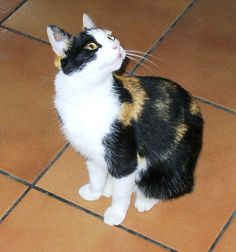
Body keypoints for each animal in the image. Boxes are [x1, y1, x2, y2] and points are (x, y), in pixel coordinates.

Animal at [46, 14, 203, 226]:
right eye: (92, 47)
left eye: (110, 37)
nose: (117, 45)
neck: (88, 95)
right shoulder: (91, 152)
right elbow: (95, 173)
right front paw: (94, 192)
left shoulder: (124, 157)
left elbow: (121, 192)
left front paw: (115, 214)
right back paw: (108, 187)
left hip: (169, 165)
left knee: (175, 186)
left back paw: (144, 199)